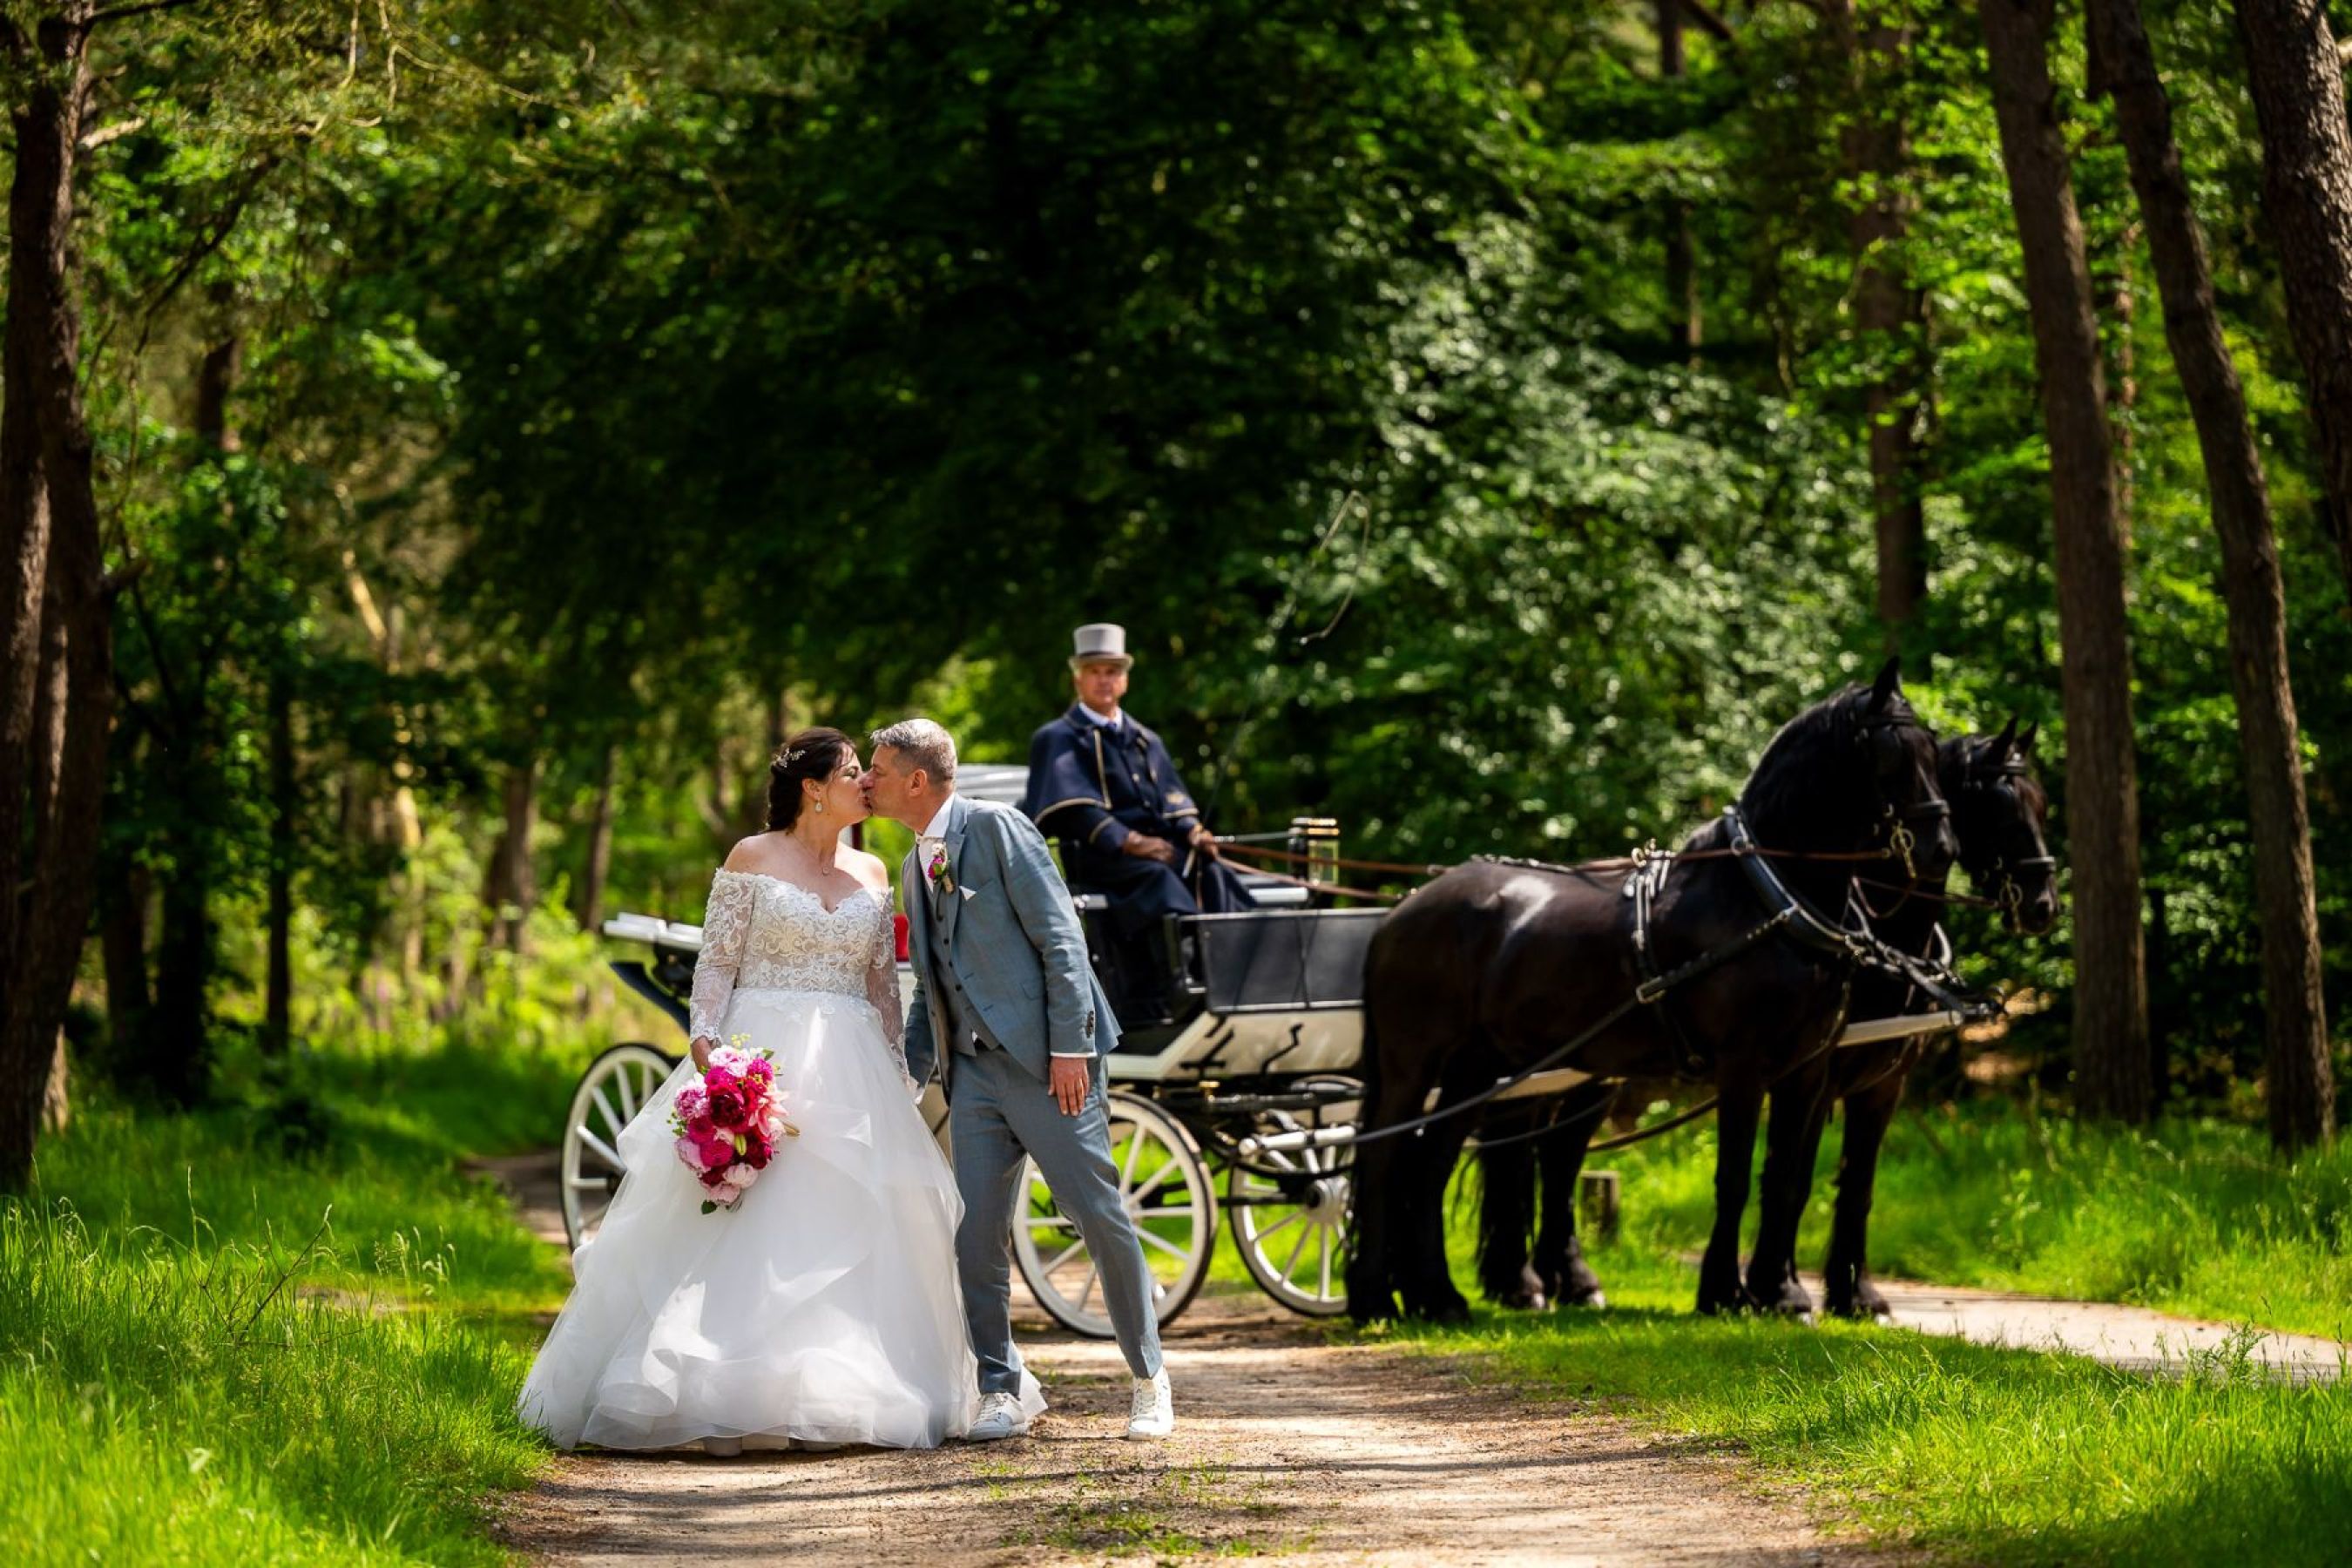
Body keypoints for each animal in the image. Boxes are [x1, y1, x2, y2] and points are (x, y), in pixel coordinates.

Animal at [1355, 658, 1957, 1316]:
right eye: (1890, 754)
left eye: (1934, 751)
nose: (1941, 849)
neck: (1765, 897)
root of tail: (1400, 910)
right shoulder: (1742, 1066)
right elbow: (1734, 1177)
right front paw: (1722, 1292)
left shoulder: (1807, 1070)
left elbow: (1783, 1180)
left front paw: (1780, 1293)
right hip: (1414, 1064)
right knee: (1381, 1159)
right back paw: (1375, 1298)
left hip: (1477, 1069)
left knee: (1428, 1167)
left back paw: (1436, 1297)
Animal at [1486, 724, 2060, 1326]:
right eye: (1999, 806)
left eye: (2041, 804)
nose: (2044, 905)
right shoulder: (1812, 1073)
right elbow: (1795, 1178)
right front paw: (1778, 1285)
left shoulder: (1881, 1085)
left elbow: (1855, 1185)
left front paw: (1855, 1294)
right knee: (1518, 1154)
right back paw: (1521, 1282)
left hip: (1592, 1077)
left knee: (1556, 1157)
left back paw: (1567, 1280)